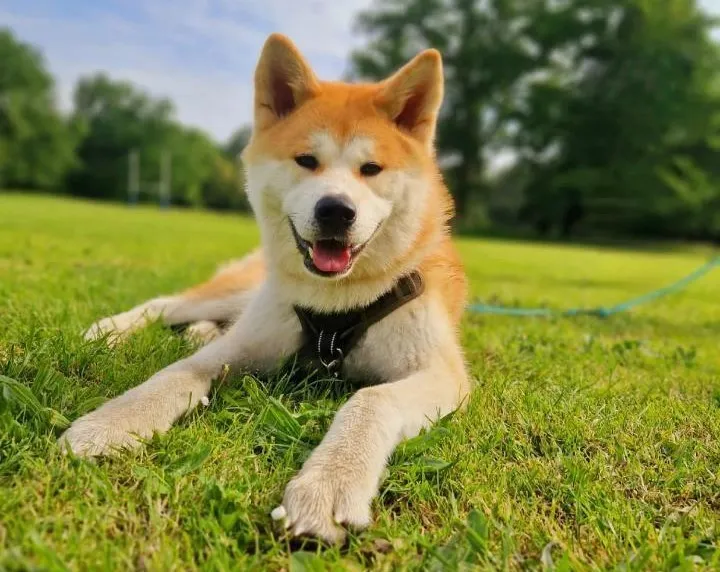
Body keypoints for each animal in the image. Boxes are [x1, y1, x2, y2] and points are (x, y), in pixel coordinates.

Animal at [59, 33, 470, 544]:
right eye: (307, 161)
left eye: (371, 168)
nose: (336, 210)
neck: (337, 305)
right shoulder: (244, 346)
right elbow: (173, 375)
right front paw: (110, 422)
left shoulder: (443, 374)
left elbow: (370, 399)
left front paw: (330, 482)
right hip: (243, 293)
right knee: (166, 304)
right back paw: (111, 330)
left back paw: (197, 331)